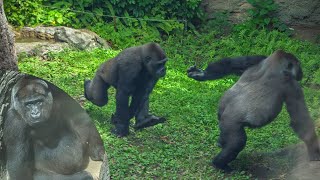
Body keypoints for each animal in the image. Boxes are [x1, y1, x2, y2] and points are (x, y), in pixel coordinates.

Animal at [188, 50, 320, 172]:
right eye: (298, 65)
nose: (301, 73)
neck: (276, 63)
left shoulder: (259, 58)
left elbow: (230, 64)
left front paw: (202, 74)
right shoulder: (291, 85)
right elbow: (300, 120)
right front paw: (315, 152)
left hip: (221, 117)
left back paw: (220, 143)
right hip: (230, 124)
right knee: (237, 142)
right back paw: (220, 164)